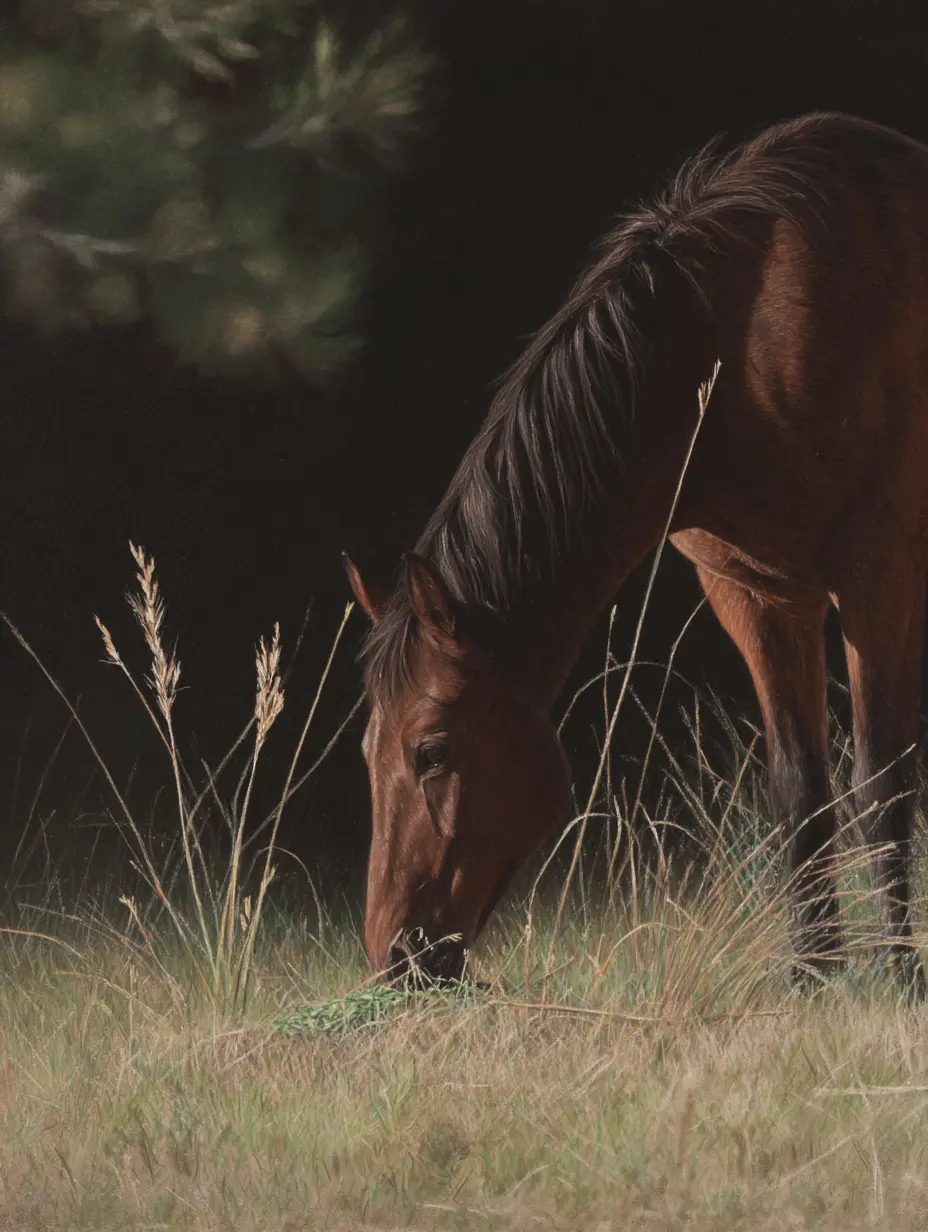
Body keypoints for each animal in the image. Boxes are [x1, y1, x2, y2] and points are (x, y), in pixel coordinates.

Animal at [344, 111, 928, 998]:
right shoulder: (757, 597)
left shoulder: (876, 585)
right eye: (367, 754)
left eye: (431, 749)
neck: (739, 343)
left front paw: (899, 976)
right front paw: (812, 975)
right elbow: (800, 789)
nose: (396, 955)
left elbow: (882, 783)